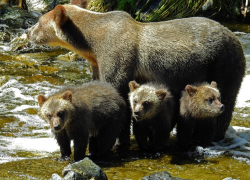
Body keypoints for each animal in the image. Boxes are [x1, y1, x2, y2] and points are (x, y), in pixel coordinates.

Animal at [26, 3, 245, 146]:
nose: (28, 32)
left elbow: (117, 88)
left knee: (226, 99)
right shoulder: (97, 62)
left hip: (223, 63)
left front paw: (116, 139)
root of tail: (235, 37)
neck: (90, 44)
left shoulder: (117, 54)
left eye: (39, 21)